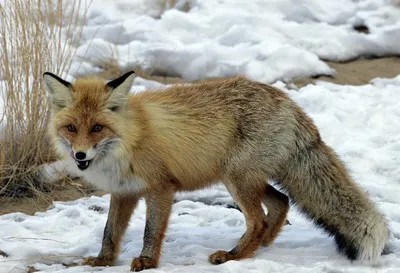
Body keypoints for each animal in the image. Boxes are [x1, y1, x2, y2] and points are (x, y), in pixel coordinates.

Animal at [42, 70, 390, 270]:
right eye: (72, 128)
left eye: (97, 128)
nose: (80, 155)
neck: (130, 138)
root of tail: (288, 101)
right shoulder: (125, 191)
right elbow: (110, 232)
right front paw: (103, 261)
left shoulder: (160, 188)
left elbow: (151, 231)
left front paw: (147, 261)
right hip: (244, 178)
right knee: (280, 203)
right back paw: (258, 248)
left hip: (236, 180)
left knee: (259, 219)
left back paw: (235, 256)